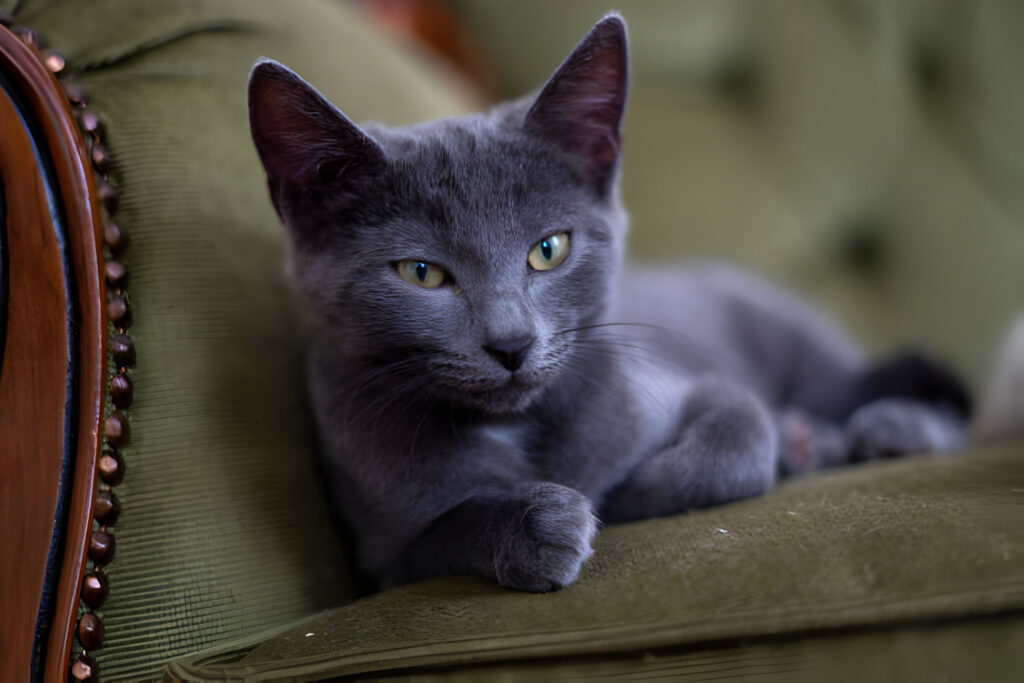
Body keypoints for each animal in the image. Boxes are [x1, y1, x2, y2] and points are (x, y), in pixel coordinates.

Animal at [247, 14, 966, 593]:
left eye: (548, 249)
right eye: (421, 272)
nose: (512, 344)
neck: (519, 426)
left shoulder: (682, 384)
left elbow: (736, 440)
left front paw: (621, 495)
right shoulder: (377, 557)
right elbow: (435, 538)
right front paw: (538, 523)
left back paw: (882, 430)